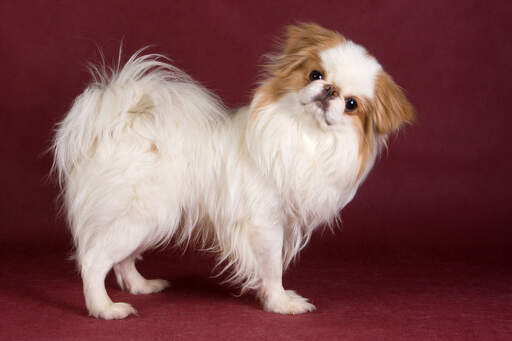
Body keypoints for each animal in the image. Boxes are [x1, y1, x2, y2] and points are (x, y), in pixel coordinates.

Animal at [52, 23, 414, 318]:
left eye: (352, 105)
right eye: (315, 75)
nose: (330, 91)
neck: (303, 133)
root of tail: (118, 124)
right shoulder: (264, 224)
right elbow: (272, 268)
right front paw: (281, 303)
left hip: (150, 222)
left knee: (122, 259)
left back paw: (141, 287)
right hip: (140, 216)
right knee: (93, 260)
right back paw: (104, 308)